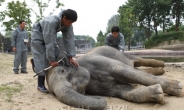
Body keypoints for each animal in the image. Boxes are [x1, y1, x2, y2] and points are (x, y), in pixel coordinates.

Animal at [45, 45, 183, 109]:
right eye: (52, 93)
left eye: (62, 71)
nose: (96, 97)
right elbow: (123, 91)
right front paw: (158, 93)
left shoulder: (97, 61)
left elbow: (123, 71)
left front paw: (178, 88)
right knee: (136, 67)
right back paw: (160, 70)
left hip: (119, 53)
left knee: (137, 61)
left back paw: (162, 64)